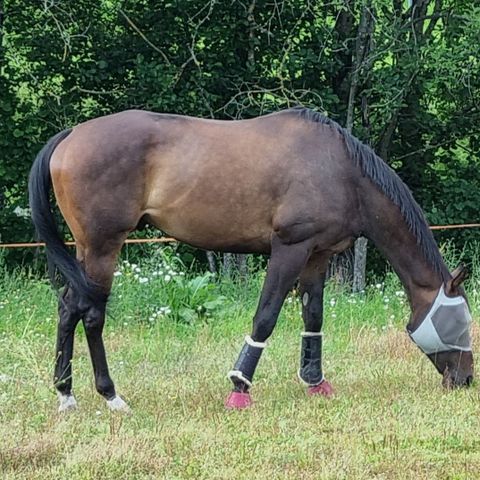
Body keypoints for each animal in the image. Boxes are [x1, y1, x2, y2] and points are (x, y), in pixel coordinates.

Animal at [28, 109, 474, 412]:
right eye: (461, 320)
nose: (466, 379)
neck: (341, 171)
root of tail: (72, 134)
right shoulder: (290, 248)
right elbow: (266, 316)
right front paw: (239, 387)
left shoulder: (318, 255)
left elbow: (313, 317)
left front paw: (315, 382)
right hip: (103, 247)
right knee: (91, 314)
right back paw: (111, 395)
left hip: (85, 252)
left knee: (68, 307)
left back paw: (66, 394)